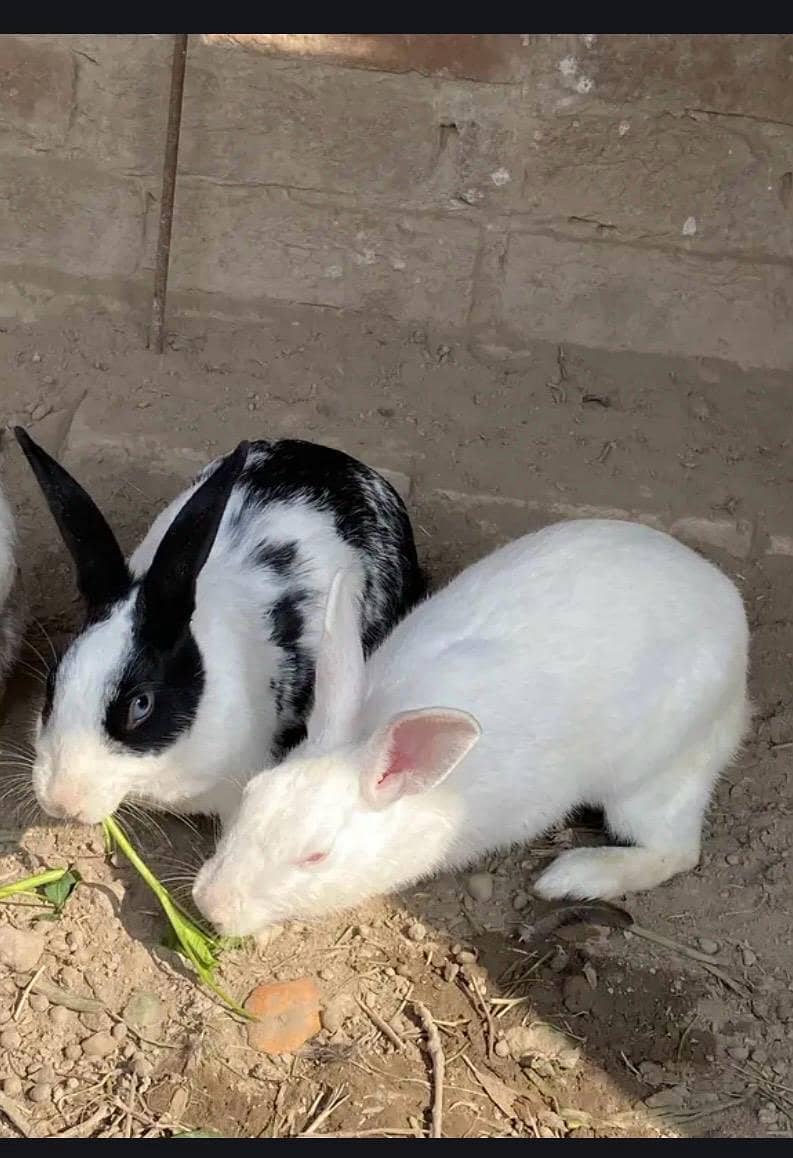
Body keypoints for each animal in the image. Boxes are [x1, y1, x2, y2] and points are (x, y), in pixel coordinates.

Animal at [193, 518, 750, 938]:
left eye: (315, 856)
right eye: (252, 795)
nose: (210, 905)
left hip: (651, 780)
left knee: (675, 851)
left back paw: (571, 877)